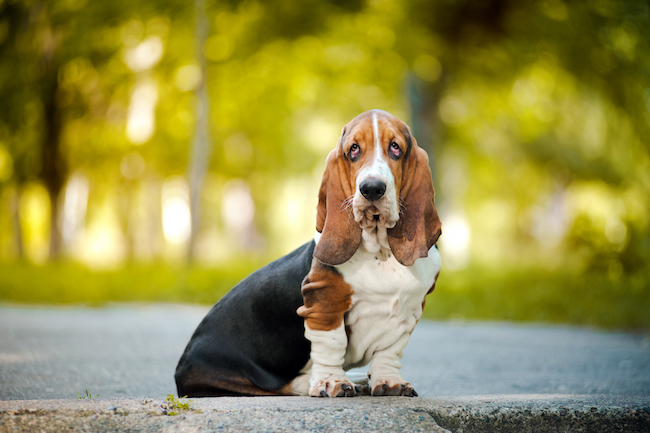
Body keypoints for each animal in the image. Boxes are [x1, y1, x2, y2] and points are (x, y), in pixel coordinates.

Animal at [173, 109, 440, 396]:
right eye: (353, 149)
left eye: (395, 147)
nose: (371, 188)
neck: (381, 252)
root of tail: (180, 370)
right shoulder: (324, 305)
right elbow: (332, 344)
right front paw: (331, 382)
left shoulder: (409, 310)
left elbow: (389, 351)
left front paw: (390, 382)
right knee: (283, 386)